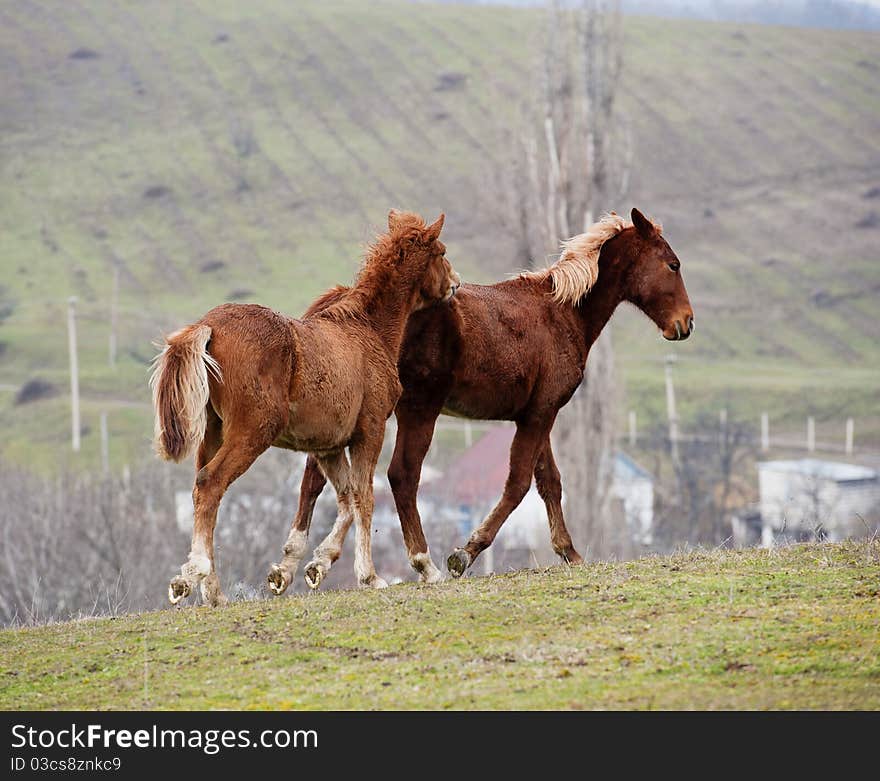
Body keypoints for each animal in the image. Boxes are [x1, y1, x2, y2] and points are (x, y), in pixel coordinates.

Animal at [150, 210, 460, 608]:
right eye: (441, 252)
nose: (455, 284)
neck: (367, 330)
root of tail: (209, 326)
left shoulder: (328, 446)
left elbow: (345, 499)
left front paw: (311, 566)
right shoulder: (371, 430)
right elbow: (364, 497)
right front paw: (370, 576)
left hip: (214, 432)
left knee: (202, 488)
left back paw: (214, 592)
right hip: (253, 431)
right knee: (210, 482)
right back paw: (191, 578)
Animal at [276, 207, 696, 584]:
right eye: (673, 264)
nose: (686, 323)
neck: (562, 314)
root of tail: (344, 300)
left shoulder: (535, 414)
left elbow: (549, 481)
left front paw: (568, 551)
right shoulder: (541, 413)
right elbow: (519, 483)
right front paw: (465, 553)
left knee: (317, 479)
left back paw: (299, 564)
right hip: (417, 410)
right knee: (401, 476)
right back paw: (422, 562)